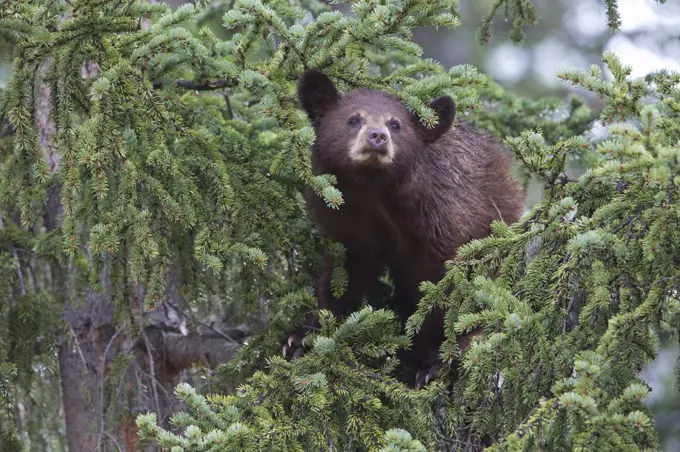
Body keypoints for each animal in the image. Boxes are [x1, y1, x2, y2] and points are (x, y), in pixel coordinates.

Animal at [282, 68, 524, 388]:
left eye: (394, 124)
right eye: (353, 119)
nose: (377, 137)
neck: (374, 192)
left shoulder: (443, 218)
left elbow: (444, 290)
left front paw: (432, 361)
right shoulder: (349, 223)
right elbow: (343, 274)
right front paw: (303, 336)